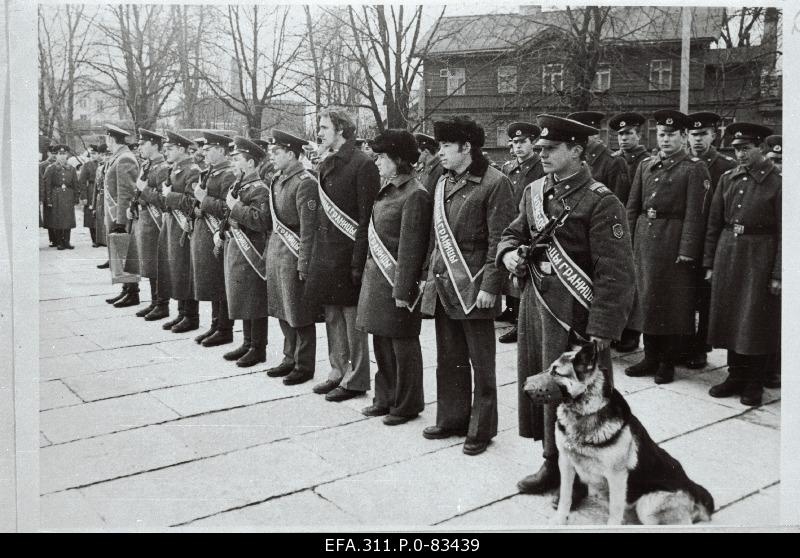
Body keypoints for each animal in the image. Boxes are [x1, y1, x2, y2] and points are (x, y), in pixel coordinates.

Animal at [524, 340, 720, 528]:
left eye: (556, 373)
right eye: (550, 369)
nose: (525, 388)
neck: (585, 412)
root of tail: (693, 489)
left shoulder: (617, 476)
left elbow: (615, 509)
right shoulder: (566, 463)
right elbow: (566, 496)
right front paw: (560, 520)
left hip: (646, 506)